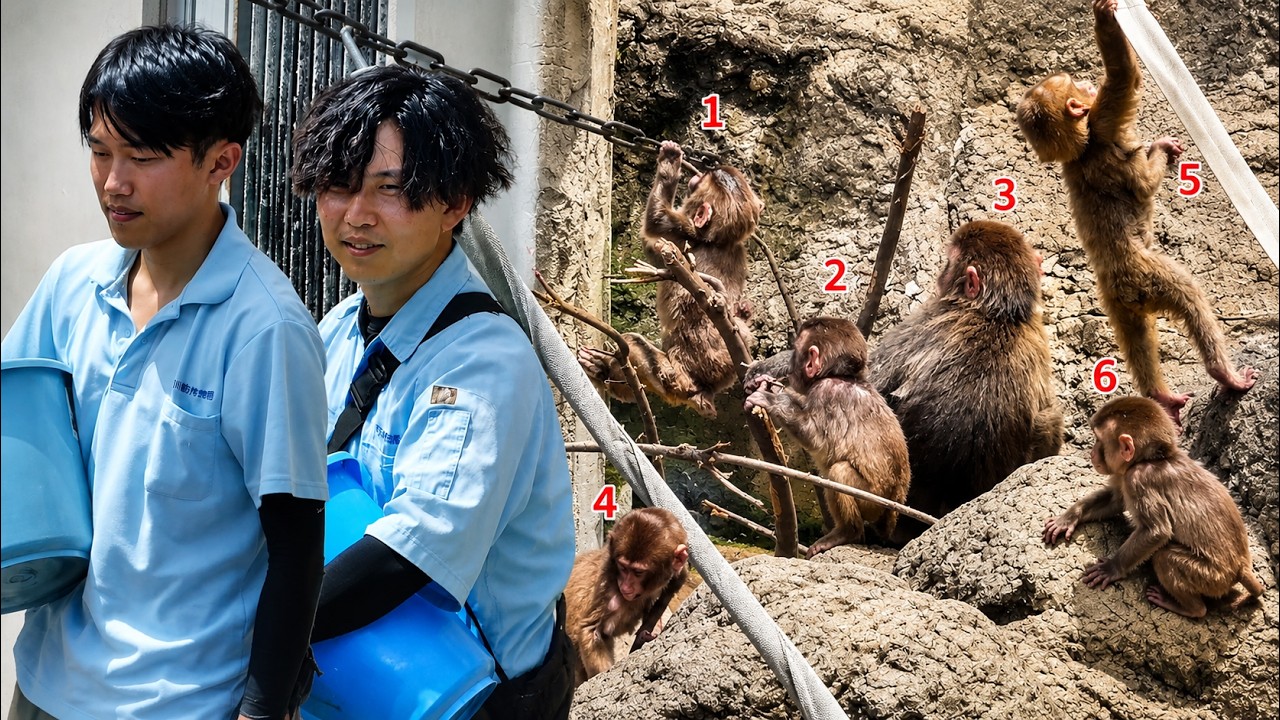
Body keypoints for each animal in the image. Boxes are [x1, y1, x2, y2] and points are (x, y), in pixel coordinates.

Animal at [579, 140, 763, 417]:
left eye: (710, 181)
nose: (704, 172)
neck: (718, 240)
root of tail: (702, 392)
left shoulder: (683, 231)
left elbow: (655, 224)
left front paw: (670, 161)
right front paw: (742, 309)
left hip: (672, 377)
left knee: (634, 345)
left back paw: (604, 369)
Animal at [743, 317, 910, 556]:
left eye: (796, 353)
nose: (791, 364)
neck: (841, 377)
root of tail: (894, 508)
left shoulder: (825, 391)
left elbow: (814, 437)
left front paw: (771, 399)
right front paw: (769, 385)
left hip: (873, 503)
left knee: (839, 471)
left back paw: (847, 532)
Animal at [1015, 0, 1256, 424]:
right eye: (1078, 87)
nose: (1086, 83)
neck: (1080, 149)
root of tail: (1121, 282)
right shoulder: (1104, 121)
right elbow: (1124, 85)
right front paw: (1106, 19)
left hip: (1118, 301)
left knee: (1136, 339)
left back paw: (1160, 396)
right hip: (1148, 275)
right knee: (1190, 297)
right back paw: (1222, 372)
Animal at [1044, 395, 1263, 618]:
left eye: (1099, 440)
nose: (1092, 453)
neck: (1149, 459)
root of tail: (1241, 567)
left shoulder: (1138, 479)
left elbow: (1156, 531)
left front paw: (1112, 568)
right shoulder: (1125, 475)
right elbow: (1114, 501)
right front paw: (1068, 518)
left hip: (1212, 577)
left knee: (1165, 557)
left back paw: (1190, 608)